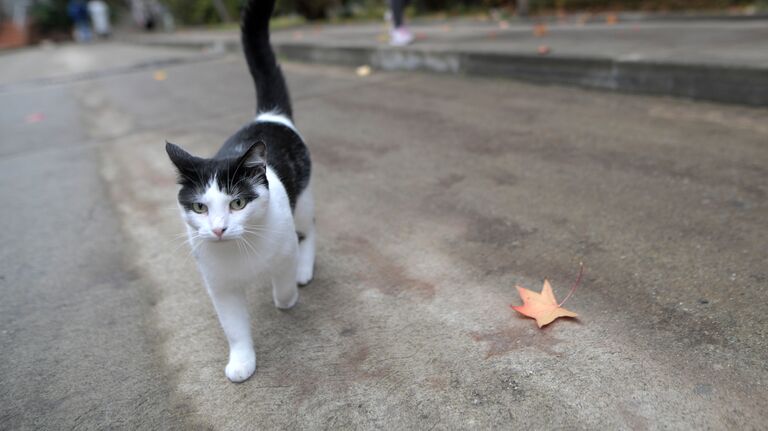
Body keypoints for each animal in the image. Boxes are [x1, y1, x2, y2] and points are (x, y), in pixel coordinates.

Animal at [166, 0, 314, 384]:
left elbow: (283, 282)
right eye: (200, 208)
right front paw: (242, 361)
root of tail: (268, 116)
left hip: (304, 198)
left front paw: (286, 298)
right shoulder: (219, 285)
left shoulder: (284, 248)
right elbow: (234, 327)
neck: (240, 250)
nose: (219, 229)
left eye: (237, 202)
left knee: (310, 232)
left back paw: (305, 269)